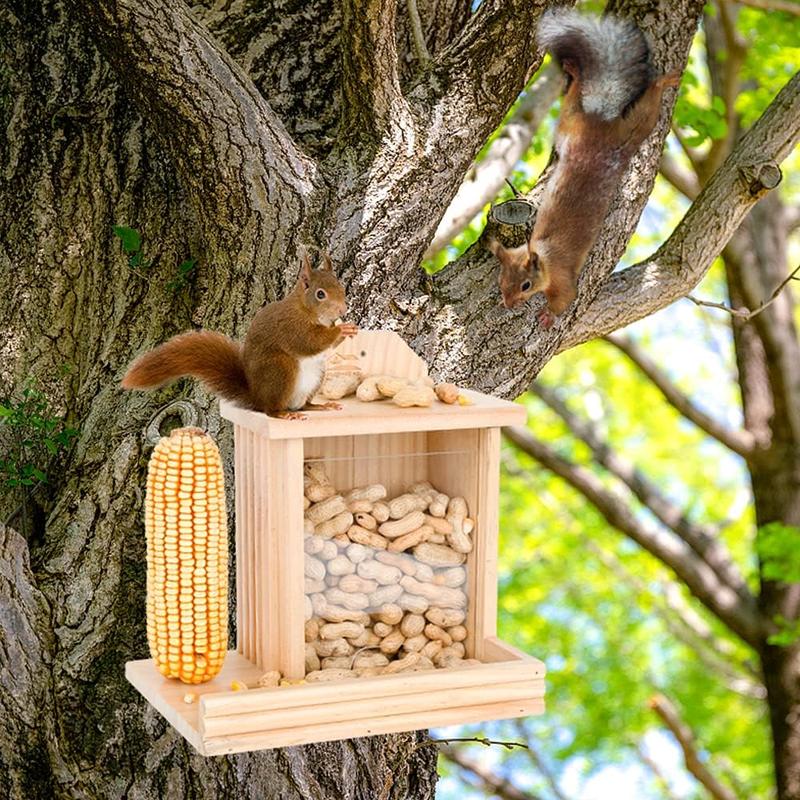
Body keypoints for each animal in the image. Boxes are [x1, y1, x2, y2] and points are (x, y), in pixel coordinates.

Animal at [121, 250, 359, 419]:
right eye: (320, 294)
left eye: (341, 288)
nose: (342, 310)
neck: (305, 309)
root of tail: (256, 397)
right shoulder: (290, 327)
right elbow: (309, 342)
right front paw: (340, 329)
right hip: (280, 370)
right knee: (271, 410)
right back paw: (283, 414)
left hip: (316, 376)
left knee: (304, 405)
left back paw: (319, 406)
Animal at [487, 9, 679, 327]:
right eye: (501, 281)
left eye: (526, 285)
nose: (508, 304)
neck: (543, 255)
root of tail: (600, 125)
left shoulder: (562, 278)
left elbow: (565, 299)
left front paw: (548, 315)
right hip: (598, 126)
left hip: (584, 126)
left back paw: (664, 80)